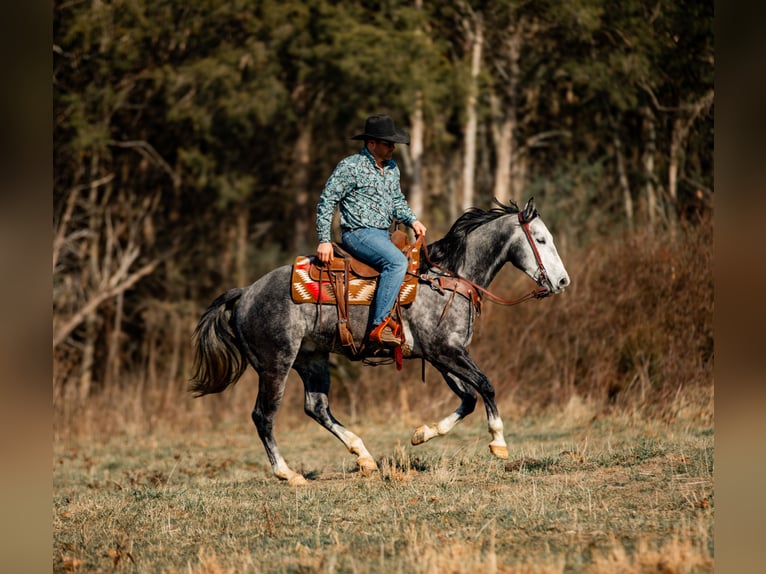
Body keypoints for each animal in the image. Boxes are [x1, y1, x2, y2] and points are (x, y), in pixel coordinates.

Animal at [190, 198, 570, 485]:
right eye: (541, 239)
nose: (562, 281)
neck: (448, 279)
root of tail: (246, 293)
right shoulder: (446, 351)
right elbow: (486, 386)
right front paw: (498, 442)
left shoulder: (440, 355)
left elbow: (468, 397)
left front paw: (422, 433)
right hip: (276, 364)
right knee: (264, 415)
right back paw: (288, 474)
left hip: (312, 359)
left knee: (317, 407)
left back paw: (364, 456)